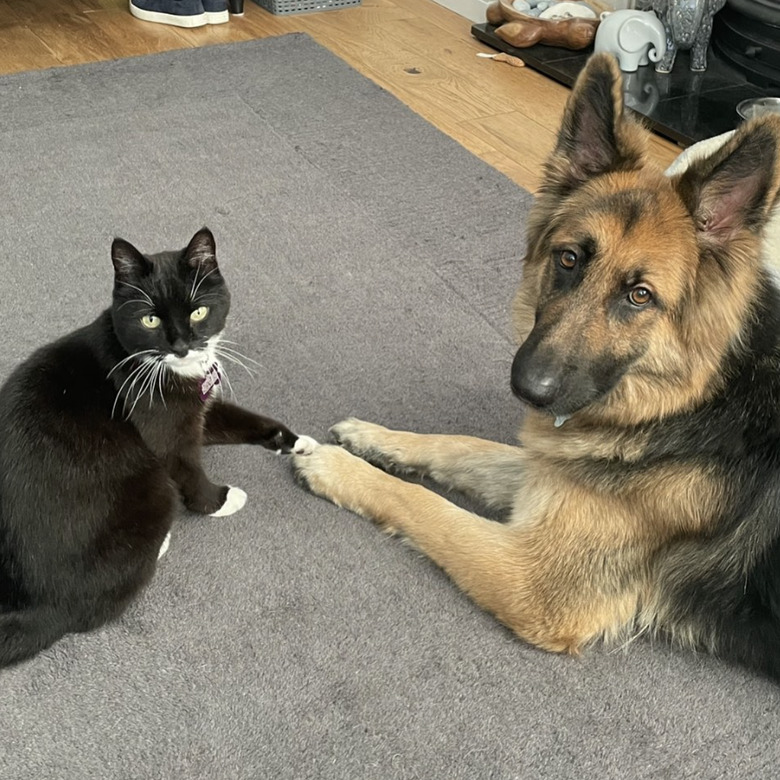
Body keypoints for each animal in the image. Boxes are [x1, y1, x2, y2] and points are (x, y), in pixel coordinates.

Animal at [0, 224, 308, 664]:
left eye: (198, 312)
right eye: (149, 319)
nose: (181, 345)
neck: (171, 372)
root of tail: (43, 604)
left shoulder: (198, 410)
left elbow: (236, 417)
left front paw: (294, 441)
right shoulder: (167, 433)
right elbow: (191, 470)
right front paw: (221, 501)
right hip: (154, 486)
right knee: (100, 605)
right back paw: (158, 545)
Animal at [296, 51, 780, 680]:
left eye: (640, 296)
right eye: (569, 259)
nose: (529, 389)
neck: (694, 401)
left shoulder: (532, 582)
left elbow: (424, 503)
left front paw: (338, 467)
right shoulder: (549, 475)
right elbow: (462, 446)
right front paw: (375, 438)